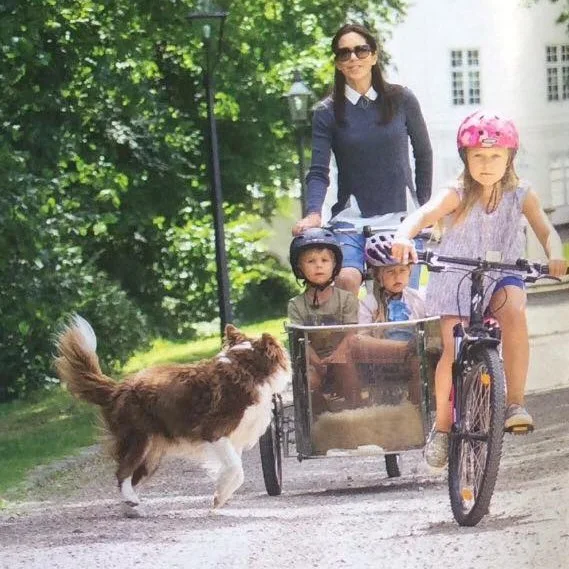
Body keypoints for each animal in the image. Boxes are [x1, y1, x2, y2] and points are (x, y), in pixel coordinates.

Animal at [54, 316, 288, 510]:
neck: (246, 367)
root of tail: (116, 389)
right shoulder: (214, 432)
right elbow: (237, 468)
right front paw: (219, 497)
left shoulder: (235, 438)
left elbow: (234, 470)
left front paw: (221, 494)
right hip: (140, 439)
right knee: (122, 472)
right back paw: (131, 500)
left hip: (152, 454)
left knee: (131, 476)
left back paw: (132, 505)